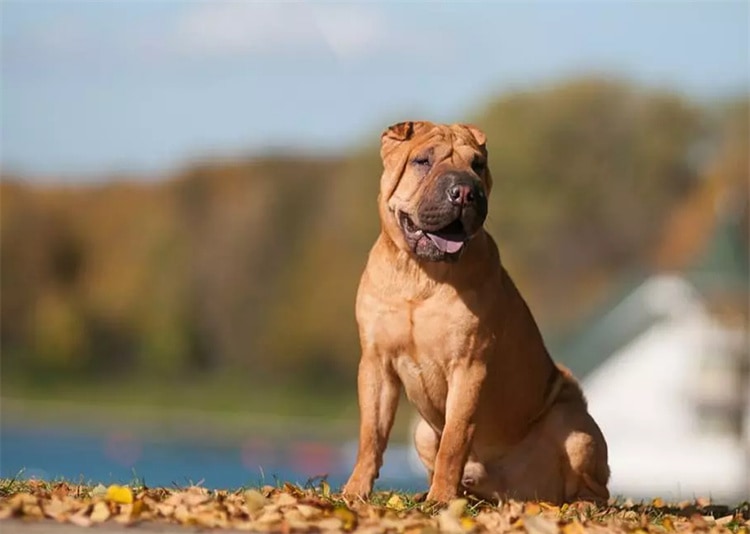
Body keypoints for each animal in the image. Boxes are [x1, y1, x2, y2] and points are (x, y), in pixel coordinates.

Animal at [342, 121, 612, 506]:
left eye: (477, 164)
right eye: (422, 161)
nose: (465, 192)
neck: (420, 273)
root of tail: (512, 493)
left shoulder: (468, 365)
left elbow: (455, 439)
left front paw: (442, 498)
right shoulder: (376, 362)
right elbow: (371, 435)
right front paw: (355, 490)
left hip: (574, 428)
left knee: (596, 486)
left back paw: (580, 503)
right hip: (422, 432)